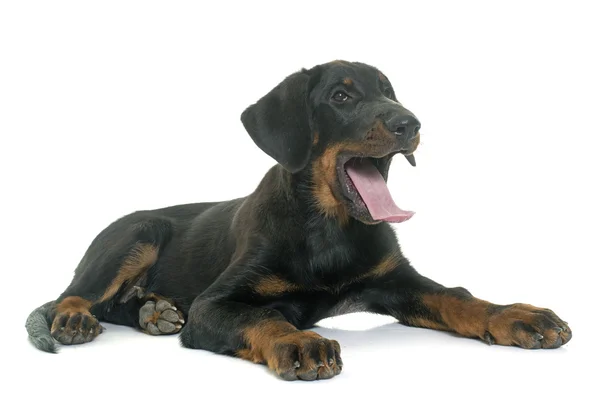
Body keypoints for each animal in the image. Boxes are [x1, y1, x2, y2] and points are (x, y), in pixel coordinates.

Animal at [27, 59, 572, 382]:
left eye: (390, 91)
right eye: (341, 97)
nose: (411, 124)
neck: (329, 229)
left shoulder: (397, 281)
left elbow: (458, 297)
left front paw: (517, 315)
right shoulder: (212, 305)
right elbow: (260, 316)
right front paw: (297, 341)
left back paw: (152, 311)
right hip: (137, 234)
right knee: (72, 295)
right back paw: (77, 317)